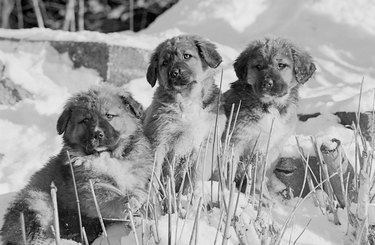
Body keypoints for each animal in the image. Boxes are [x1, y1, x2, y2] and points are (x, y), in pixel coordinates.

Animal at [0, 85, 153, 244]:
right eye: (85, 120)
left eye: (109, 116)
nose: (97, 134)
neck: (107, 156)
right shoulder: (88, 186)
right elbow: (106, 197)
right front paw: (130, 200)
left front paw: (137, 215)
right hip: (37, 201)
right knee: (35, 230)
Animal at [144, 34, 226, 192]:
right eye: (164, 63)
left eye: (187, 56)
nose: (174, 73)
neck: (188, 99)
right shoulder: (159, 139)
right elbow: (154, 172)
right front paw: (151, 196)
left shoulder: (207, 143)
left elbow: (194, 176)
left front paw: (188, 195)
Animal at [223, 37, 318, 192]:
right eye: (258, 66)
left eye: (281, 65)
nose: (267, 83)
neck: (271, 106)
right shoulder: (234, 141)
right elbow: (227, 170)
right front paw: (225, 191)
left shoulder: (271, 147)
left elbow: (260, 176)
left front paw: (261, 194)